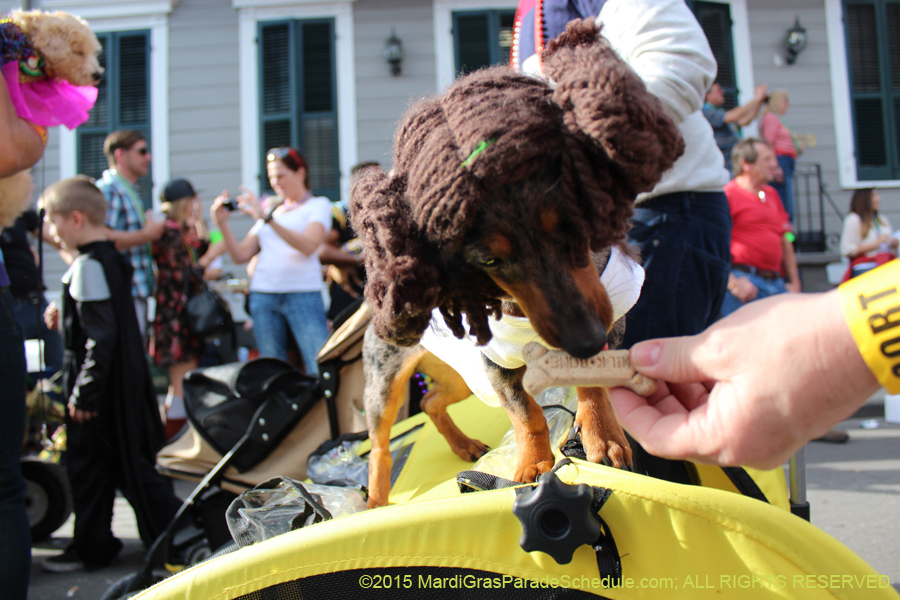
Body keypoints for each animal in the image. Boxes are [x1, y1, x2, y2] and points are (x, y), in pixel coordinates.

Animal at [352, 19, 684, 506]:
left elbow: (592, 384)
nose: (584, 339)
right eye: (489, 259)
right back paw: (375, 502)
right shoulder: (498, 365)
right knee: (379, 446)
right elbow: (526, 413)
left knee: (430, 402)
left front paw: (602, 438)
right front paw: (532, 465)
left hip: (459, 375)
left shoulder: (610, 325)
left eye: (573, 224)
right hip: (387, 383)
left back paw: (463, 444)